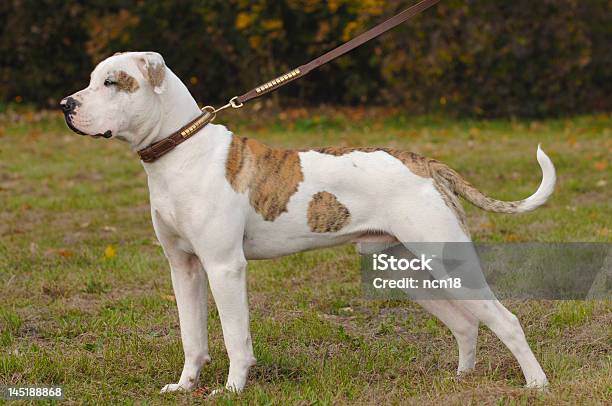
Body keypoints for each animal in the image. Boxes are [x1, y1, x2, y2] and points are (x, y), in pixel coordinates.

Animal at [62, 51, 556, 394]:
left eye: (112, 82)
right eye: (90, 79)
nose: (66, 103)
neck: (180, 149)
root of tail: (426, 164)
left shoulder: (224, 267)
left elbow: (235, 337)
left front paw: (232, 390)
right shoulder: (184, 268)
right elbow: (192, 337)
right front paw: (184, 387)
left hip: (450, 262)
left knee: (506, 319)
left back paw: (536, 384)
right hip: (409, 271)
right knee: (466, 324)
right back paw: (461, 379)